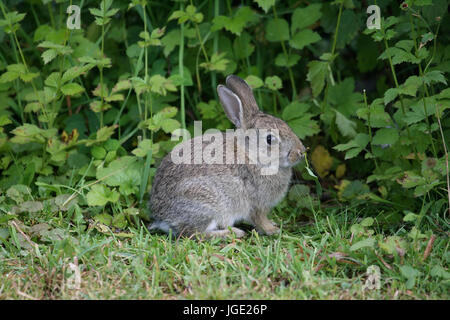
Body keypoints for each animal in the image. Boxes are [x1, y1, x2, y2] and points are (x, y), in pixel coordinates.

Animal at [149, 75, 308, 238]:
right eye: (270, 139)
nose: (301, 152)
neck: (251, 155)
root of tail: (161, 217)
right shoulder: (256, 204)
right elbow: (259, 219)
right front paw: (272, 230)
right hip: (207, 205)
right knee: (195, 233)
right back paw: (233, 233)